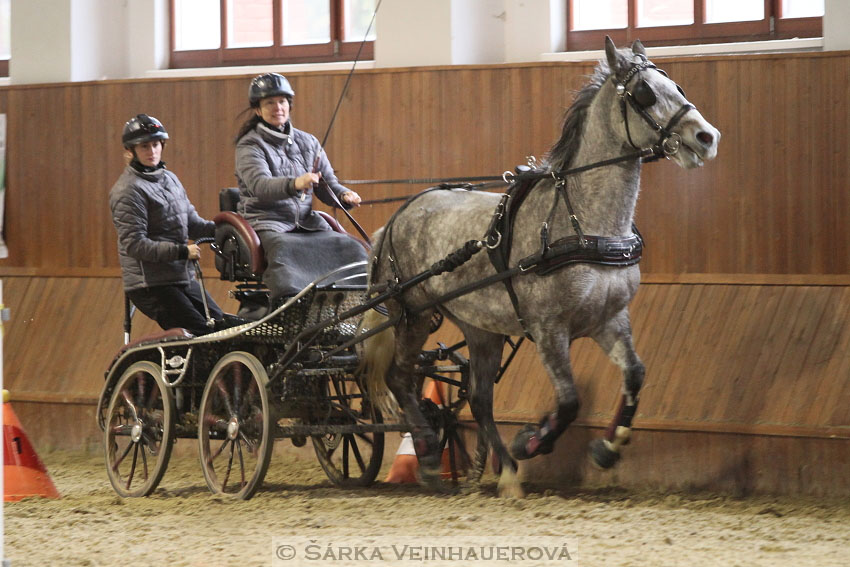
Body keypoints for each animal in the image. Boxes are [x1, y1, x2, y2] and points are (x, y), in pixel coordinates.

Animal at [362, 38, 720, 496]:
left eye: (676, 85)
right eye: (644, 94)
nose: (706, 137)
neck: (583, 221)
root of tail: (397, 217)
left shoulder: (609, 319)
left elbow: (635, 374)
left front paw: (608, 447)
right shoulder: (549, 329)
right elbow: (568, 402)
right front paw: (532, 440)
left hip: (479, 328)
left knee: (478, 399)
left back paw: (506, 473)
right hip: (413, 315)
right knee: (400, 378)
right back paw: (427, 453)